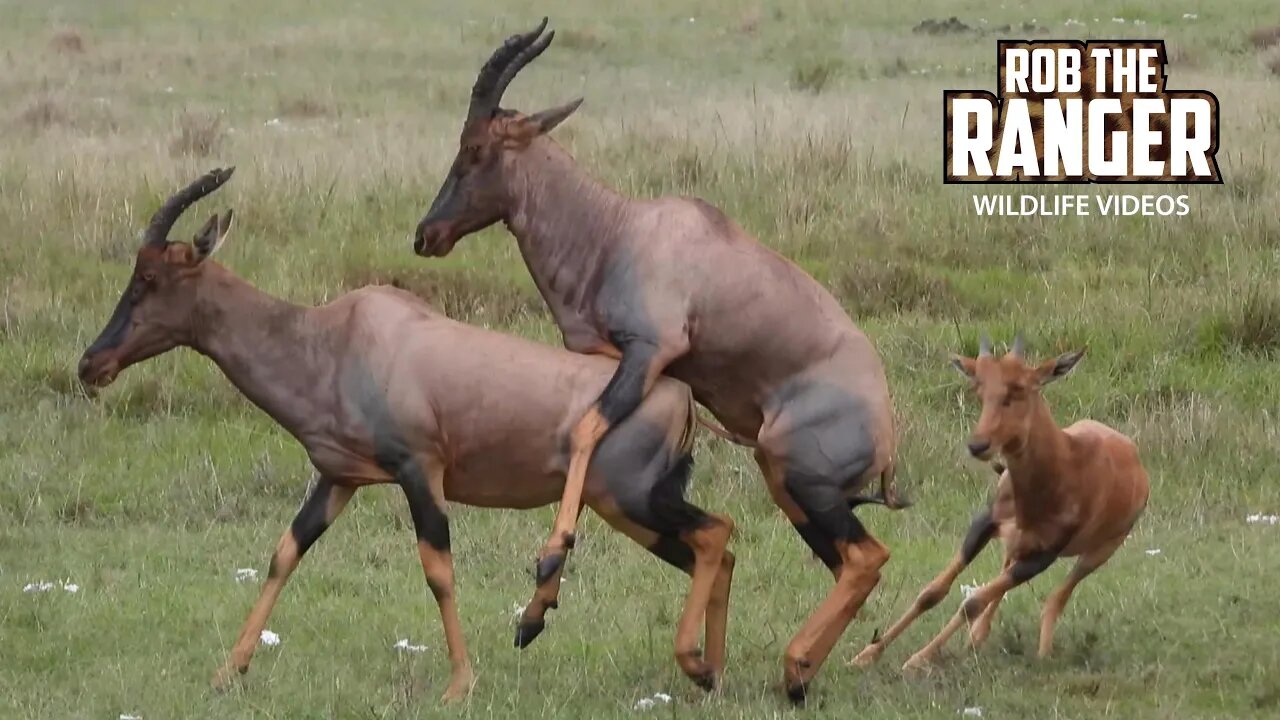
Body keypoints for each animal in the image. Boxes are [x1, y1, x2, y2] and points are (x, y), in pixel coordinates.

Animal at [80, 166, 737, 696]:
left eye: (150, 280)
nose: (91, 364)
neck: (335, 338)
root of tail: (679, 395)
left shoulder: (420, 470)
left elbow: (438, 569)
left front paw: (460, 685)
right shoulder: (339, 479)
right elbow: (284, 553)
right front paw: (227, 672)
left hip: (630, 497)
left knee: (714, 535)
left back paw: (684, 661)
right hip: (630, 507)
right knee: (717, 550)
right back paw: (709, 672)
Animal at [414, 18, 906, 702]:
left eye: (477, 149)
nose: (425, 235)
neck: (619, 229)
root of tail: (886, 430)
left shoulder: (650, 352)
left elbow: (587, 429)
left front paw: (540, 595)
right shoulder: (615, 359)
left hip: (801, 474)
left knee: (866, 559)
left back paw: (791, 666)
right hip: (791, 486)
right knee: (847, 562)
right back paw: (777, 671)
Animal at [849, 333, 1152, 671]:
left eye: (1020, 388)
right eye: (979, 388)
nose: (978, 445)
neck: (1069, 463)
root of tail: (1134, 458)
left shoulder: (1041, 558)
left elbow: (971, 602)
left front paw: (917, 660)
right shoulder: (984, 524)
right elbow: (932, 593)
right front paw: (865, 655)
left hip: (1099, 552)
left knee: (1056, 597)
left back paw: (1042, 652)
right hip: (1015, 545)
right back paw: (976, 639)